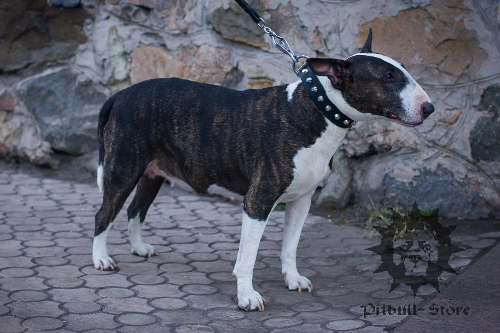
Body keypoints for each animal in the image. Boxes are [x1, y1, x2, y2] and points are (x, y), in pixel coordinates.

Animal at [93, 29, 434, 310]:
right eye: (388, 76)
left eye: (400, 68)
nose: (429, 108)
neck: (317, 108)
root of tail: (119, 95)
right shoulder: (258, 201)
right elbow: (247, 259)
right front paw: (247, 297)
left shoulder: (302, 200)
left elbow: (290, 246)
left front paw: (293, 279)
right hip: (123, 169)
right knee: (103, 214)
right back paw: (101, 259)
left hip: (152, 173)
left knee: (135, 209)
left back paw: (139, 248)